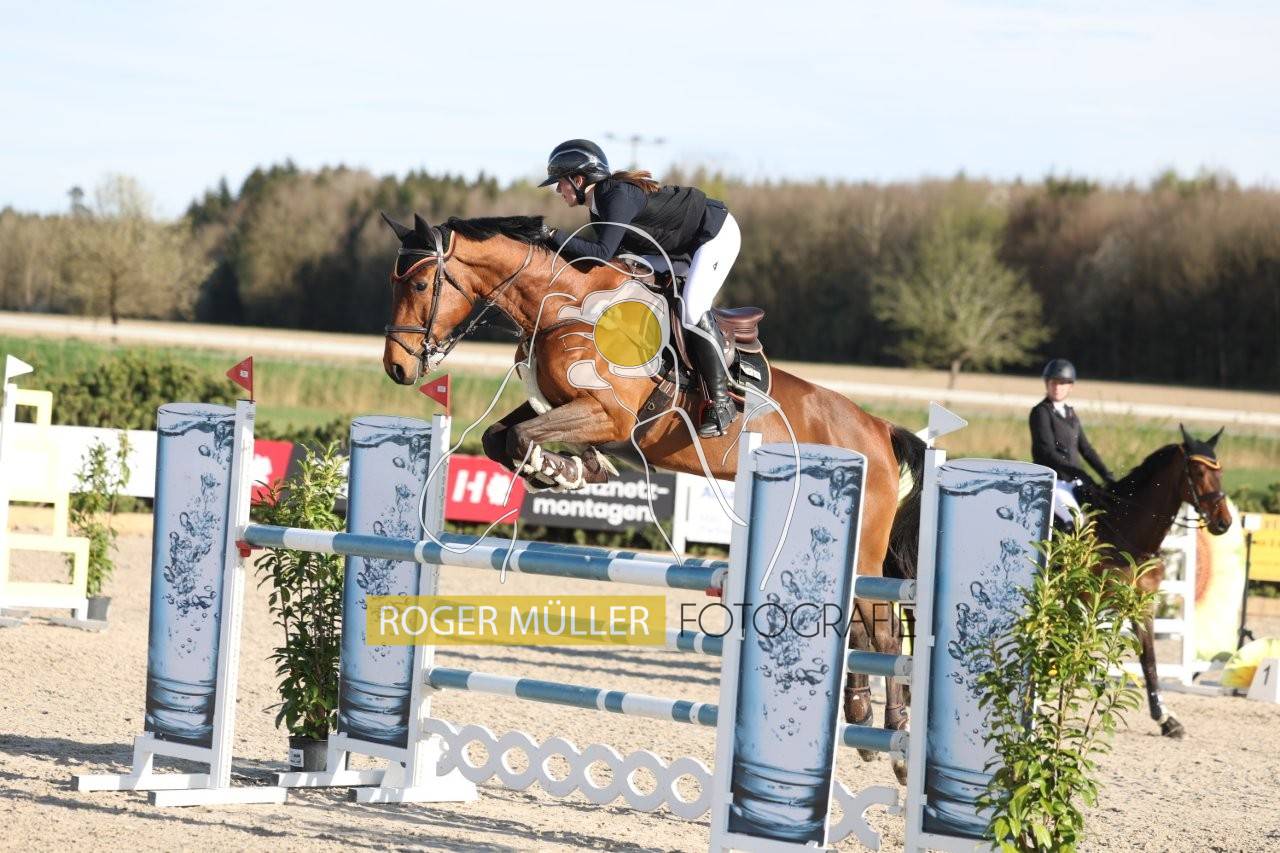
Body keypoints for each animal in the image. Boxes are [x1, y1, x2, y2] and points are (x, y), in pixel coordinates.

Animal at [378, 212, 924, 781]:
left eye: (420, 284)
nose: (397, 368)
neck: (560, 304)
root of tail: (878, 428)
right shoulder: (558, 404)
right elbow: (500, 438)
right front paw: (571, 469)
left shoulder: (609, 415)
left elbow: (524, 438)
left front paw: (568, 469)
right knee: (857, 626)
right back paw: (860, 721)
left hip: (865, 547)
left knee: (884, 633)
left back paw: (896, 741)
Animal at [1084, 425, 1232, 738]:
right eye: (1198, 472)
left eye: (1221, 471)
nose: (1223, 522)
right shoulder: (1089, 600)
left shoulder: (1142, 605)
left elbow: (1149, 659)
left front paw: (1166, 719)